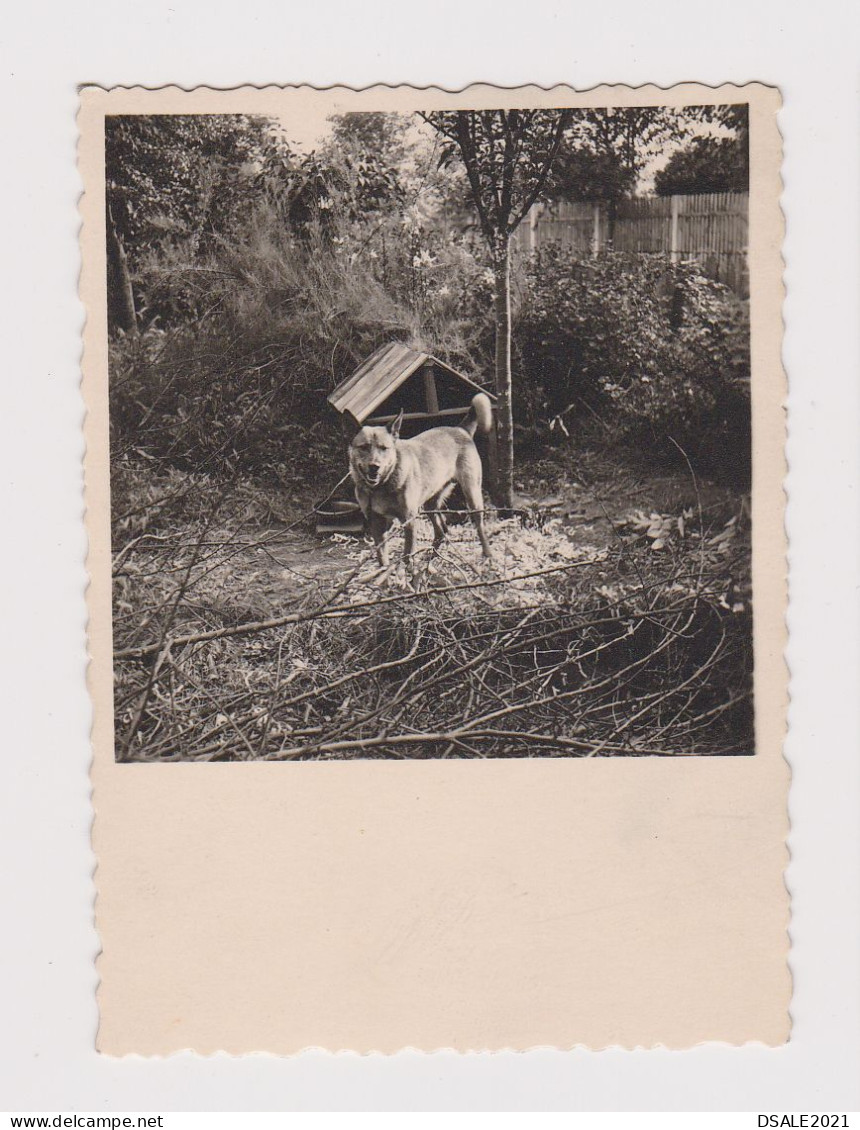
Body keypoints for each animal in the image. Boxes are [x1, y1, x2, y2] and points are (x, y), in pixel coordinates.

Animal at [348, 390, 492, 583]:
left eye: (384, 448)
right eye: (363, 447)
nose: (374, 466)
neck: (381, 486)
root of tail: (460, 429)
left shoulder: (408, 520)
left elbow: (407, 553)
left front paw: (406, 575)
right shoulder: (376, 522)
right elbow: (381, 555)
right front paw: (384, 576)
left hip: (472, 494)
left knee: (479, 526)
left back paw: (487, 554)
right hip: (430, 503)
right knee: (440, 530)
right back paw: (432, 557)